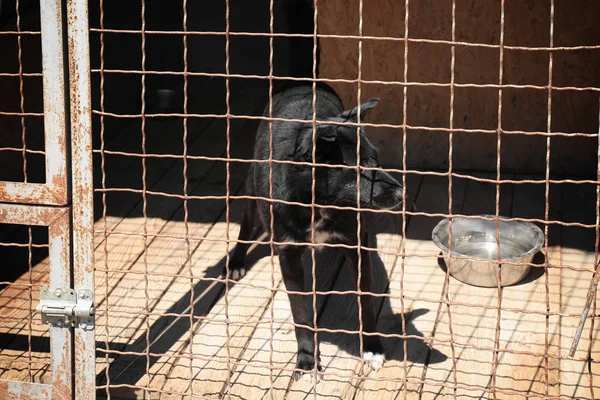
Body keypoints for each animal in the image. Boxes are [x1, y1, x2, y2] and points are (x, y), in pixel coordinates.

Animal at [227, 83, 406, 380]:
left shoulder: (356, 245)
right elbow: (300, 313)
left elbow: (365, 301)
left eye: (377, 161)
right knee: (246, 225)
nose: (403, 195)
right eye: (360, 168)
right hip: (252, 190)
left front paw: (372, 347)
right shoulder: (288, 255)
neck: (319, 201)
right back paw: (236, 261)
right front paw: (307, 359)